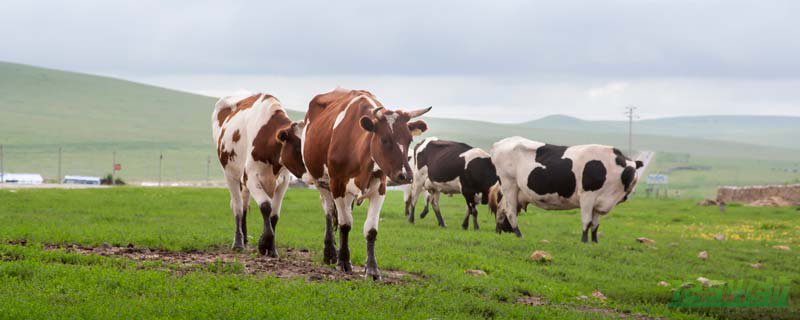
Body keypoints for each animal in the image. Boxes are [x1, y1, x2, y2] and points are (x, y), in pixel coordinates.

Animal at [212, 92, 306, 255]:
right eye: (296, 148)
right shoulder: (251, 178)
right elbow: (266, 207)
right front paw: (263, 243)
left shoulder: (283, 181)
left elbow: (274, 215)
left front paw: (272, 249)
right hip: (230, 175)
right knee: (238, 207)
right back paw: (238, 242)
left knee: (244, 205)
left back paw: (245, 238)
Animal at [302, 89, 432, 278]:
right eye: (385, 139)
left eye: (409, 140)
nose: (406, 175)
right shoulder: (337, 184)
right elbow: (345, 224)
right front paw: (343, 261)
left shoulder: (380, 189)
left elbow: (370, 230)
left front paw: (371, 268)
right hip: (321, 182)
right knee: (328, 211)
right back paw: (330, 253)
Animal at [488, 136, 644, 242]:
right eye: (629, 171)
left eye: (635, 170)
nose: (633, 179)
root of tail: (500, 143)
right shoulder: (587, 197)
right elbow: (587, 221)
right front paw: (584, 241)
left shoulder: (599, 202)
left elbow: (595, 225)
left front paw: (594, 242)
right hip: (509, 185)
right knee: (510, 212)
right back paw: (519, 235)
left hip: (512, 191)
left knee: (501, 209)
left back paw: (498, 232)